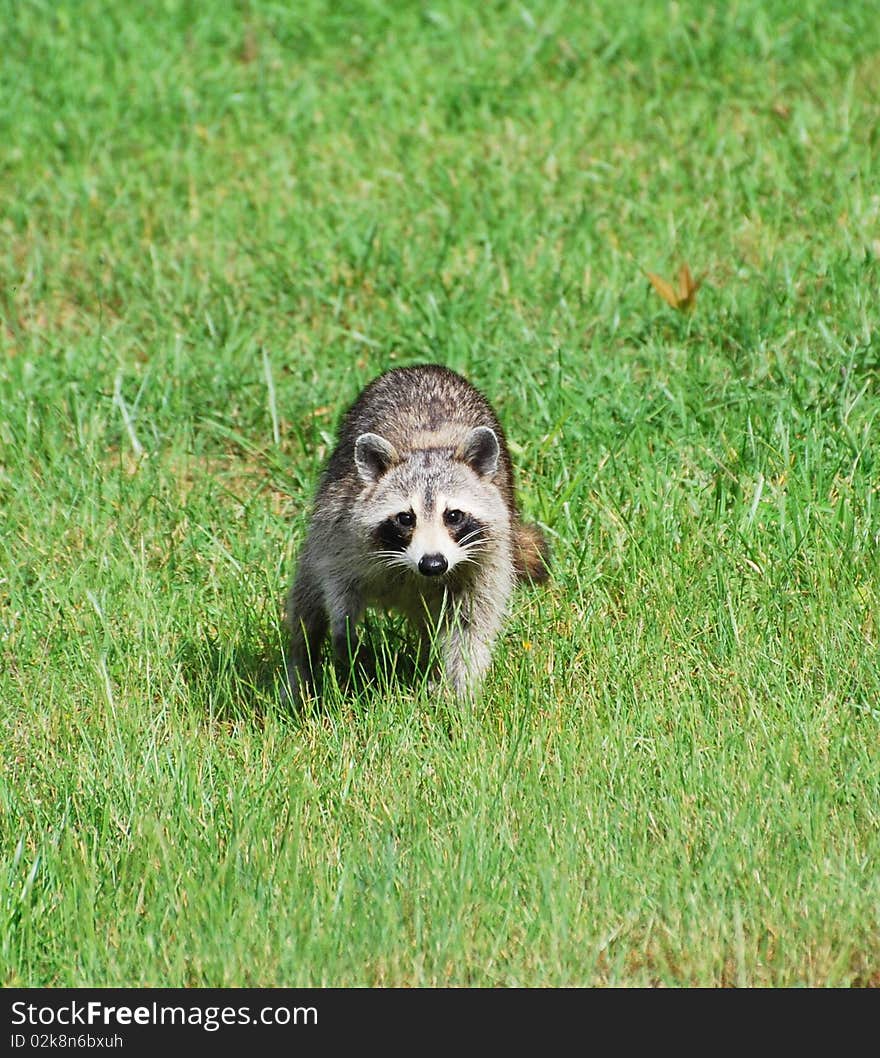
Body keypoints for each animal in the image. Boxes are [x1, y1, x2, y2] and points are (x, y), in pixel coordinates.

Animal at [285, 363, 550, 702]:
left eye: (454, 516)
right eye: (405, 518)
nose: (433, 563)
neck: (426, 447)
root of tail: (422, 366)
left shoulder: (488, 556)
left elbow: (473, 625)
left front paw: (461, 691)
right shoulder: (340, 528)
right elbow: (335, 582)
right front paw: (343, 628)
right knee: (306, 601)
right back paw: (301, 669)